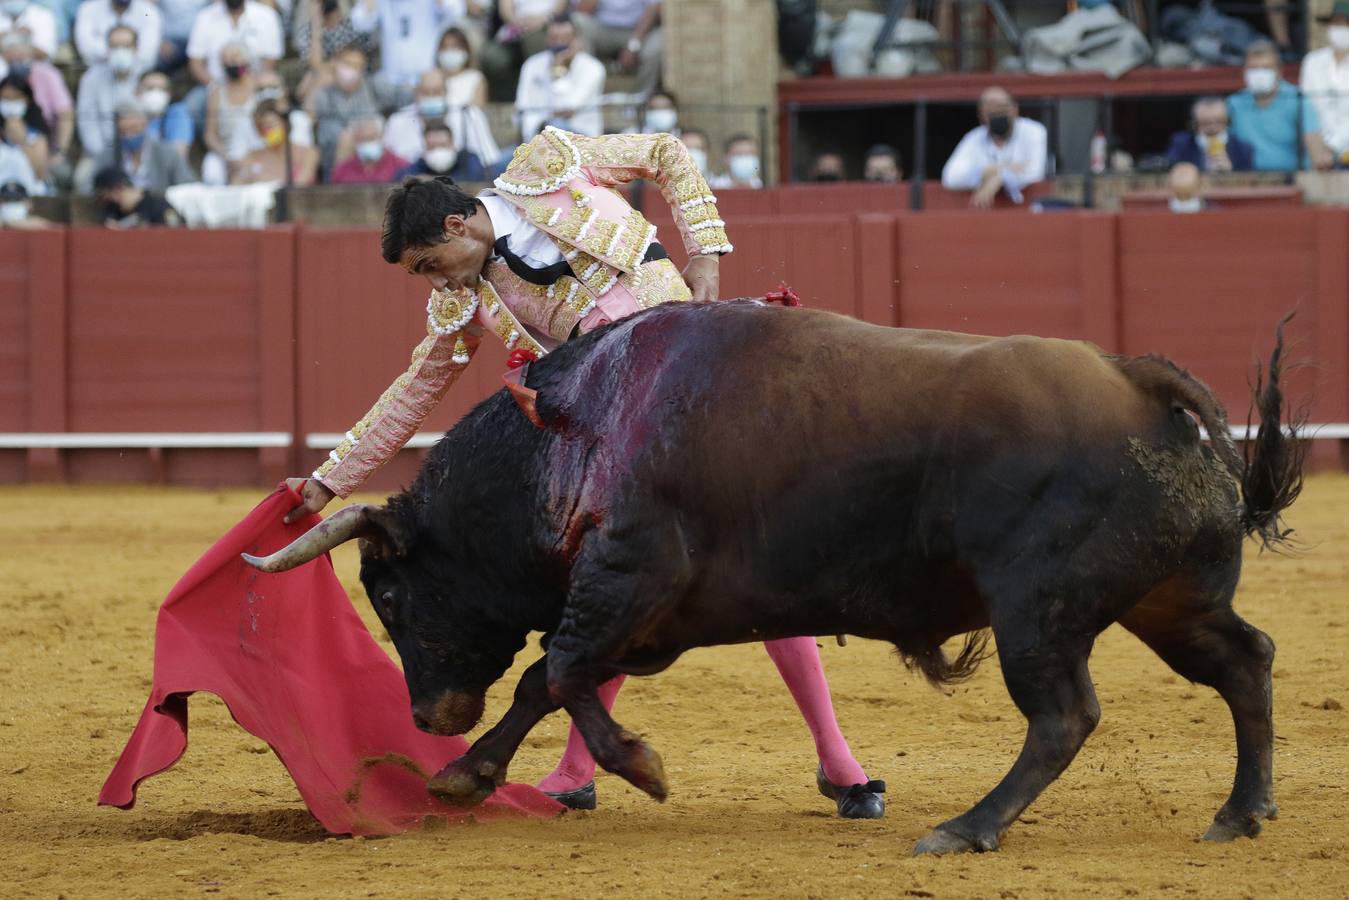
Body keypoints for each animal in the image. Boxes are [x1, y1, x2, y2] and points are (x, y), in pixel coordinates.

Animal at [242, 299, 1295, 858]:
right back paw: (1238, 813)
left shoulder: (630, 578)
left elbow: (563, 670)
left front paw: (641, 767)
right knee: (1244, 660)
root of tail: (1136, 380)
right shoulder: (640, 612)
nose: (430, 715)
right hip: (1167, 600)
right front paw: (466, 775)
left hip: (1037, 611)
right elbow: (549, 677)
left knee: (1064, 715)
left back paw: (964, 827)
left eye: (388, 594)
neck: (573, 434)